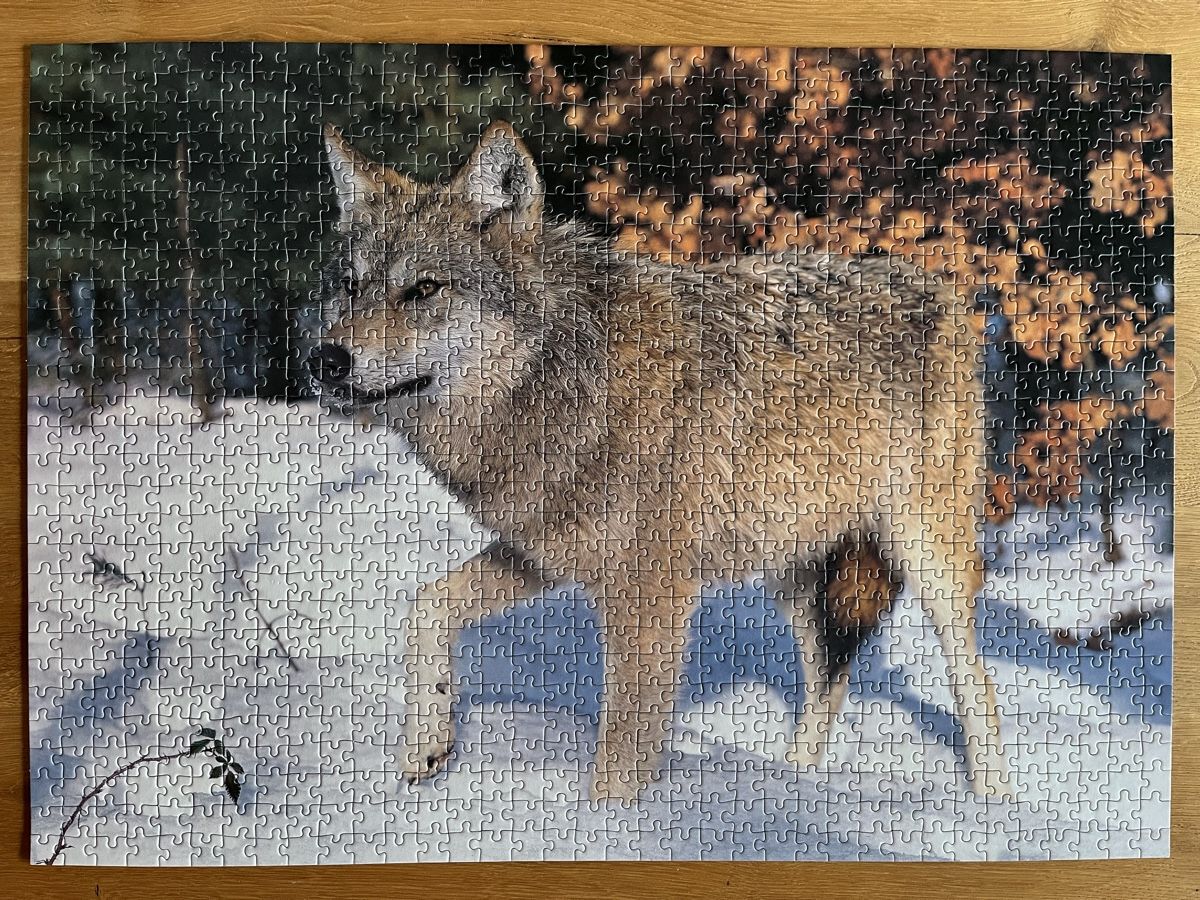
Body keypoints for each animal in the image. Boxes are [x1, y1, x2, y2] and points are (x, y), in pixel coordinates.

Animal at [311, 121, 1009, 800]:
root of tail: (940, 286)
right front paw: (424, 748)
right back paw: (795, 785)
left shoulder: (650, 595)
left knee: (975, 680)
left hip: (924, 555)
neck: (565, 380)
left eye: (424, 289)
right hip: (789, 565)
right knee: (828, 673)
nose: (326, 359)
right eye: (350, 287)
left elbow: (620, 760)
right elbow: (425, 605)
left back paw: (991, 802)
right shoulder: (543, 554)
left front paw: (609, 825)